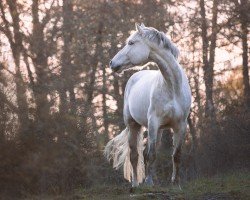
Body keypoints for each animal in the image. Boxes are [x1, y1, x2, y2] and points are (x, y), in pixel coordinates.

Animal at [103, 23, 191, 189]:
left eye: (131, 42)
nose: (111, 63)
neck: (172, 88)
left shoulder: (180, 125)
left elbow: (176, 155)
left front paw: (176, 184)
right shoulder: (153, 123)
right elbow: (151, 155)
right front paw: (149, 182)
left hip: (160, 130)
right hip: (133, 125)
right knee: (134, 155)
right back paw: (135, 185)